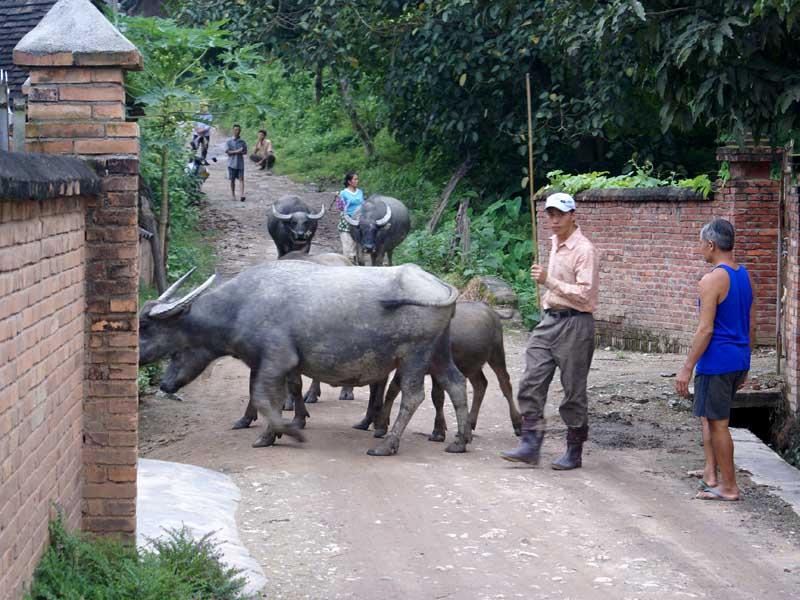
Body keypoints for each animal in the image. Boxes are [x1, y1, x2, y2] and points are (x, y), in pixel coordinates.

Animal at [140, 260, 472, 452]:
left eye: (145, 326)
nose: (164, 385)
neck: (239, 306)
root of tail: (438, 285)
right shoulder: (264, 363)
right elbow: (270, 397)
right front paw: (269, 434)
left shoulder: (277, 361)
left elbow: (263, 397)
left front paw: (287, 432)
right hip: (438, 352)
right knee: (456, 384)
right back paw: (460, 440)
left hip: (415, 355)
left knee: (413, 396)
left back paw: (388, 443)